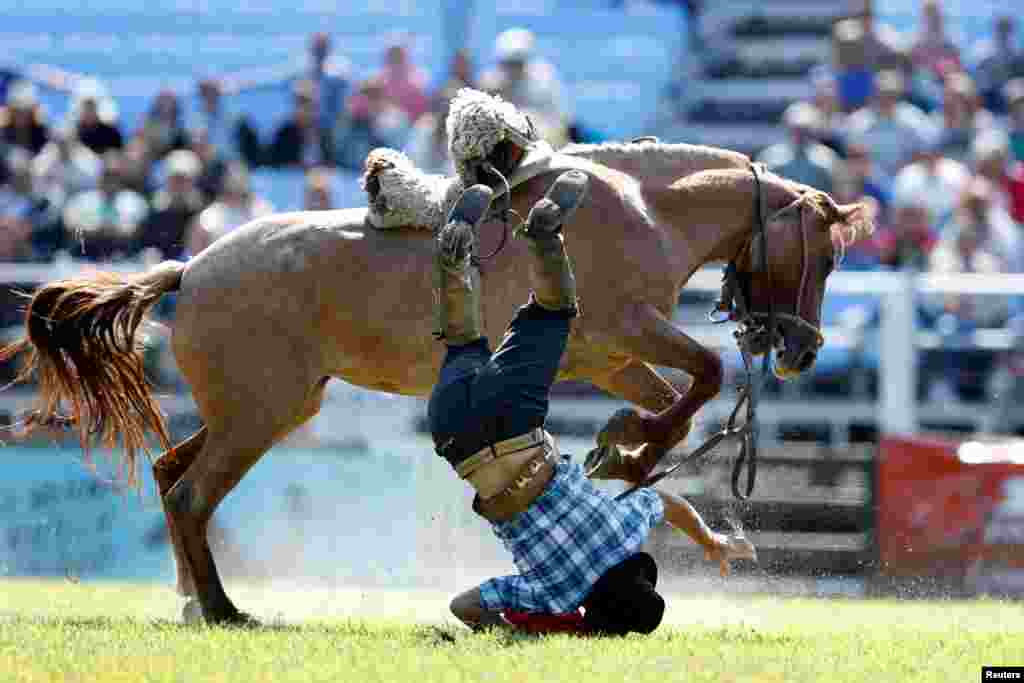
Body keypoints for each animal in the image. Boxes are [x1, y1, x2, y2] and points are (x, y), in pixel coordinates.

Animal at [0, 140, 873, 623]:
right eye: (821, 255)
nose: (802, 351)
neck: (643, 207)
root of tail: (191, 267)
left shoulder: (607, 356)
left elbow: (676, 411)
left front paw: (633, 457)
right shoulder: (624, 332)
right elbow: (708, 374)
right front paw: (629, 452)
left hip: (257, 410)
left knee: (168, 473)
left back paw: (190, 596)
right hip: (258, 417)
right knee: (189, 495)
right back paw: (221, 608)